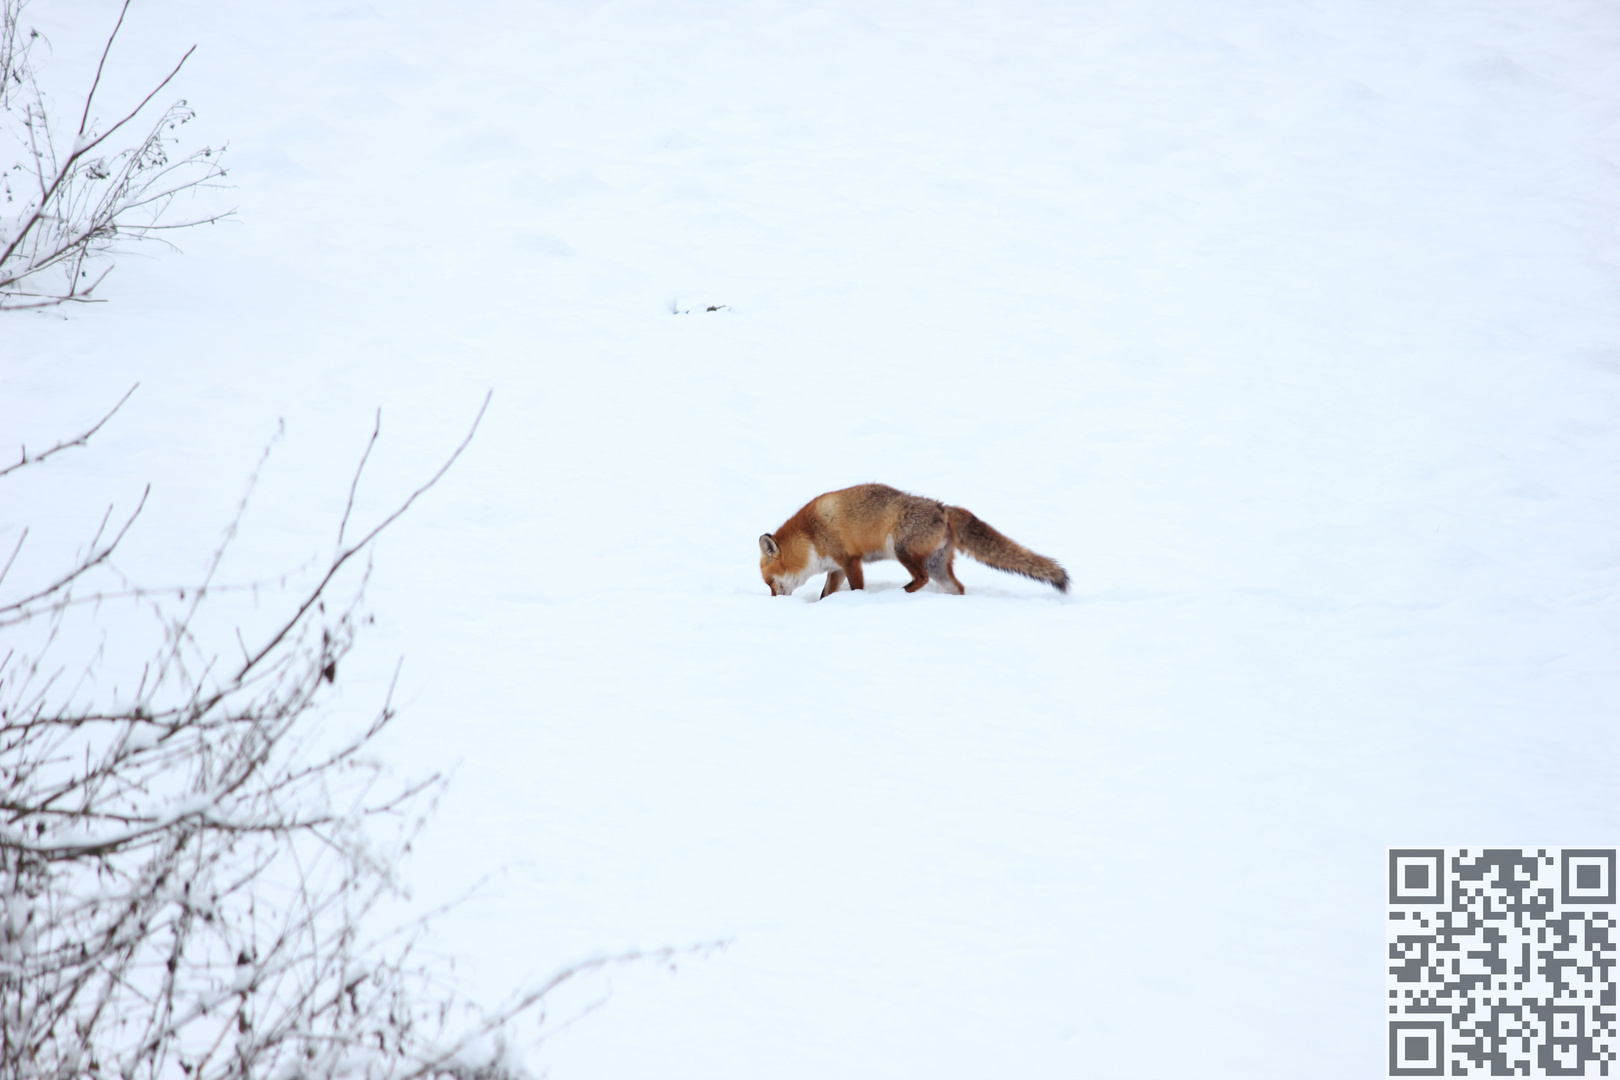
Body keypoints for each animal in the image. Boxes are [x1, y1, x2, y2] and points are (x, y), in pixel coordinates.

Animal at [761, 482, 1069, 599]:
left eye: (770, 583)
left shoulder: (850, 560)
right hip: (937, 566)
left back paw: (901, 594)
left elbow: (857, 588)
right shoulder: (835, 568)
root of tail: (943, 508)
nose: (775, 603)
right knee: (957, 587)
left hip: (901, 550)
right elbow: (826, 594)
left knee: (920, 579)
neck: (811, 534)